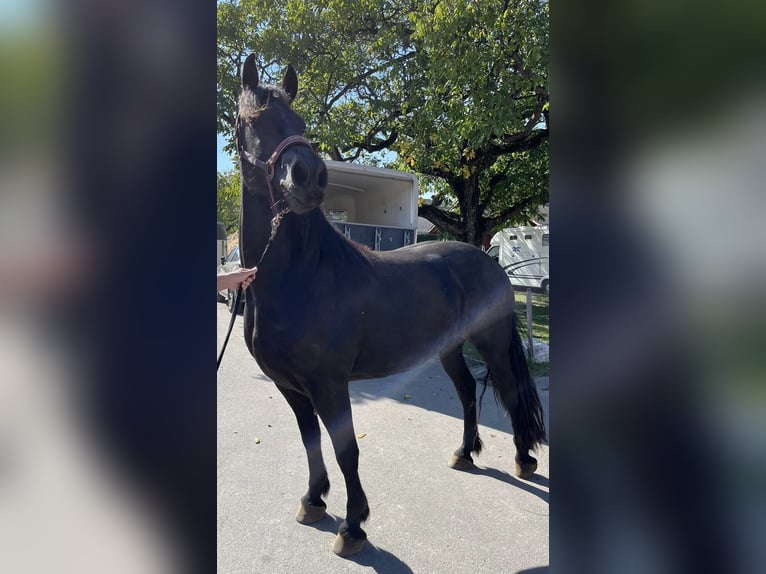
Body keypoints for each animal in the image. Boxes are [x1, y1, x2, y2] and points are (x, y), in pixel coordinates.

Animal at [236, 54, 544, 560]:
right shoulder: (291, 386)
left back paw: (524, 459)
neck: (302, 277)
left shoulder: (329, 384)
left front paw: (353, 527)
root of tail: (486, 259)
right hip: (449, 349)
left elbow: (346, 450)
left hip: (493, 342)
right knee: (466, 392)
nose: (309, 177)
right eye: (253, 119)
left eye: (300, 123)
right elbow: (310, 441)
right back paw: (464, 454)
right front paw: (313, 501)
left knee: (511, 392)